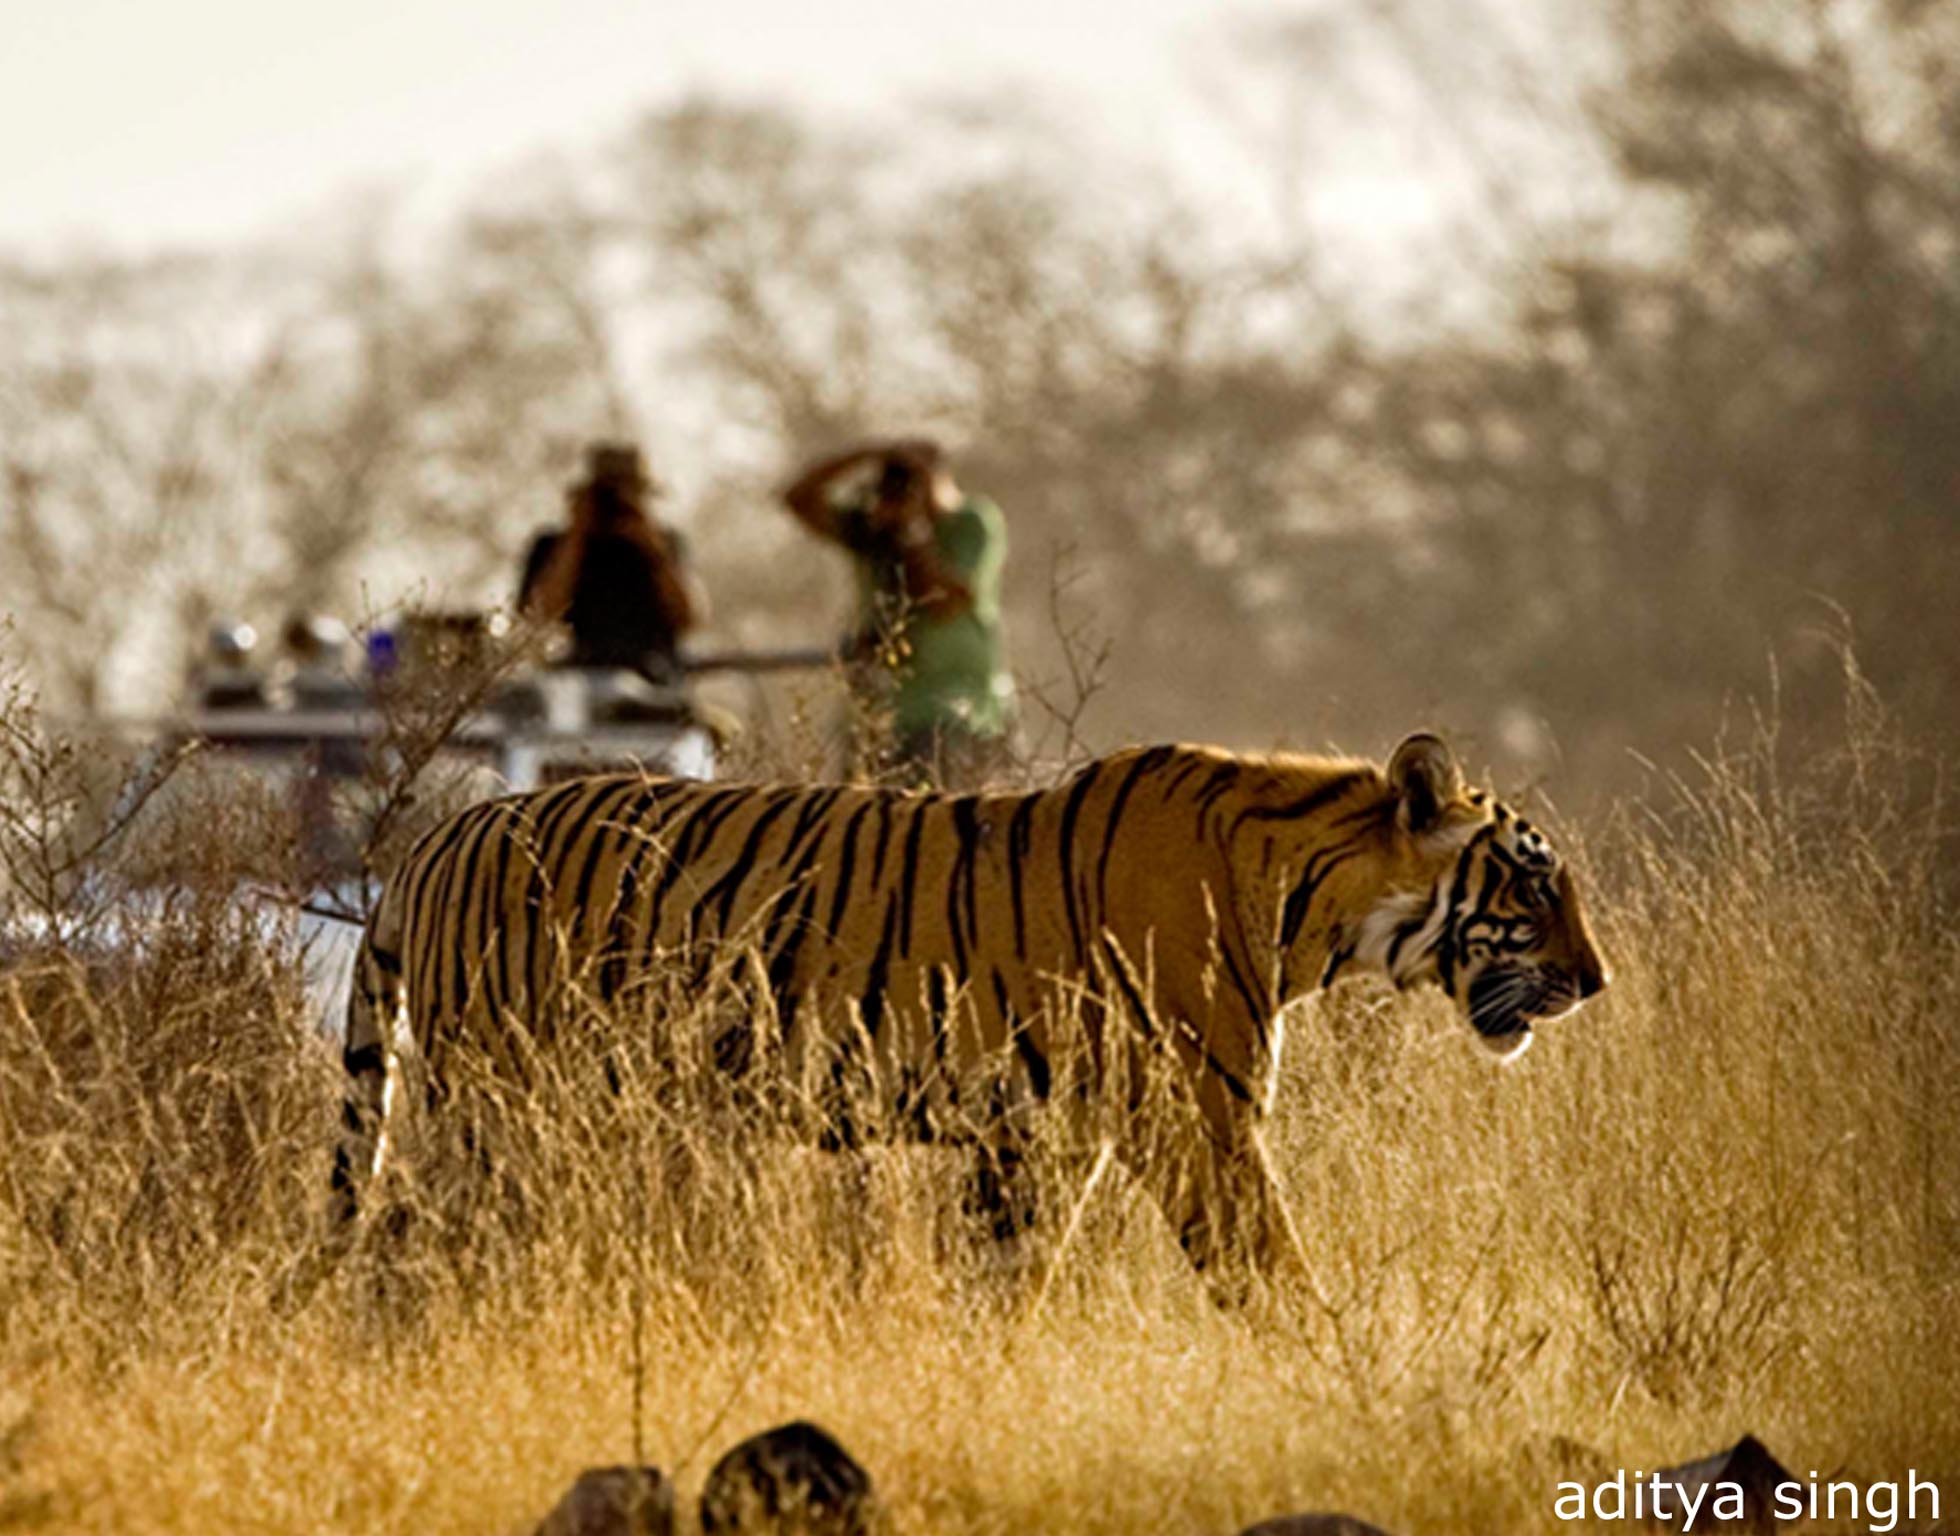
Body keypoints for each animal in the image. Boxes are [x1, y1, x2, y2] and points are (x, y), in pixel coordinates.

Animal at [327, 732, 1608, 1293]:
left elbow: (1008, 1278)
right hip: (504, 1109)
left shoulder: (1038, 1141)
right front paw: (1334, 1371)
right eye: (1532, 882)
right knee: (407, 1239)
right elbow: (1269, 1267)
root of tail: (429, 844)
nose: (1596, 981)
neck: (1311, 908)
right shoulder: (1200, 1116)